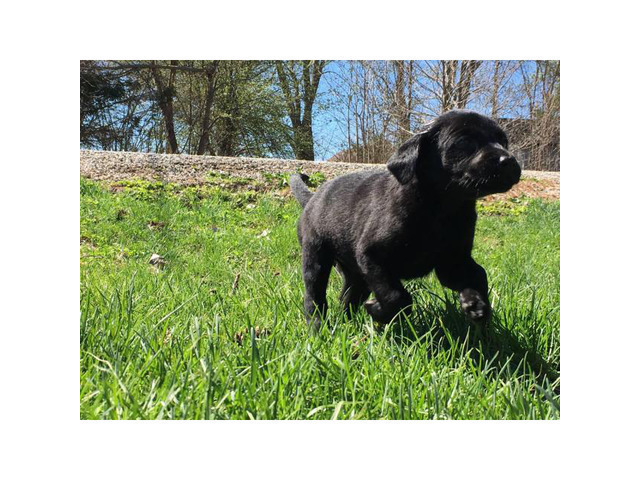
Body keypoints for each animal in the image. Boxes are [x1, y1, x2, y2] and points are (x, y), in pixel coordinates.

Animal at [290, 110, 520, 328]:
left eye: (504, 141)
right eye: (464, 142)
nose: (508, 160)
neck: (441, 209)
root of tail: (312, 198)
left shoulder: (453, 261)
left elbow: (477, 274)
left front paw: (477, 305)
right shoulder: (372, 257)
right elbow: (397, 297)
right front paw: (377, 310)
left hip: (355, 273)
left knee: (348, 297)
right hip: (315, 257)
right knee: (314, 297)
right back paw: (317, 328)